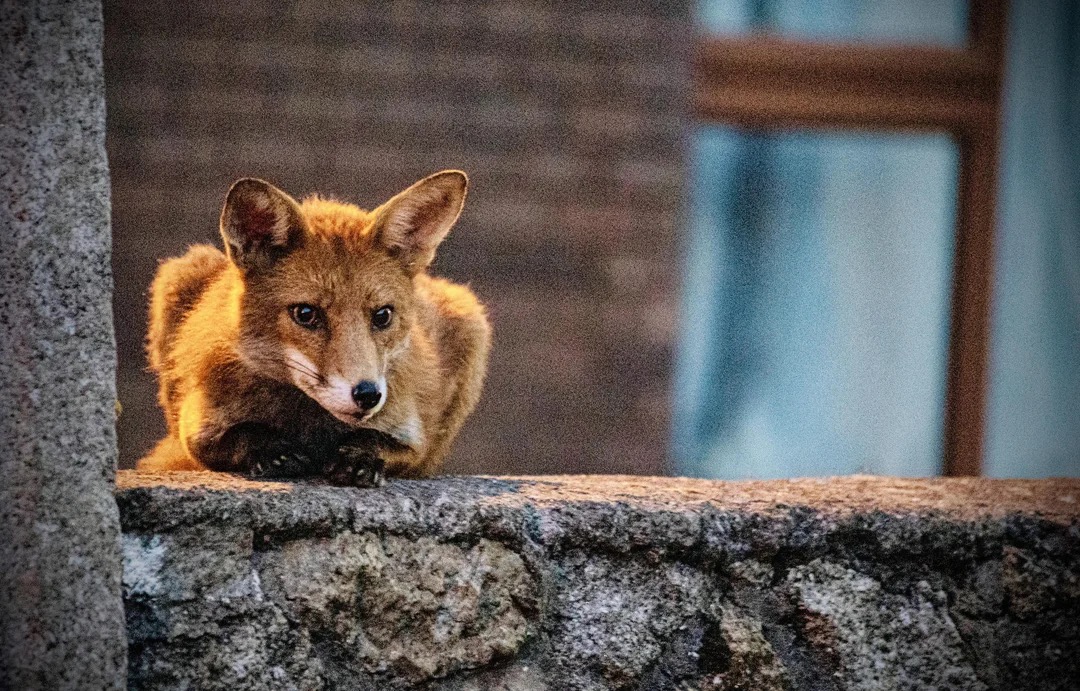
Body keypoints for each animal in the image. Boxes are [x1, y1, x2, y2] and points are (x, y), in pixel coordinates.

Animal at [137, 170, 491, 486]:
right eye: (306, 314)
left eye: (383, 316)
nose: (368, 395)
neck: (310, 424)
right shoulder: (197, 431)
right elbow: (243, 432)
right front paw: (273, 449)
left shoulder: (417, 443)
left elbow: (381, 442)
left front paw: (359, 456)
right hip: (178, 274)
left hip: (470, 319)